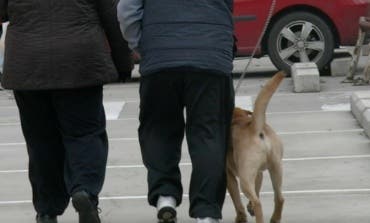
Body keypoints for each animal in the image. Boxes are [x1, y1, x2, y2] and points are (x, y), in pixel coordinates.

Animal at [225, 72, 286, 223]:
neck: (237, 118)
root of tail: (256, 128)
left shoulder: (229, 176)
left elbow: (236, 200)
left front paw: (241, 217)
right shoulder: (258, 173)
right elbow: (257, 189)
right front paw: (249, 208)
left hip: (244, 178)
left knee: (258, 202)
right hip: (276, 169)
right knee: (279, 198)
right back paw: (275, 218)